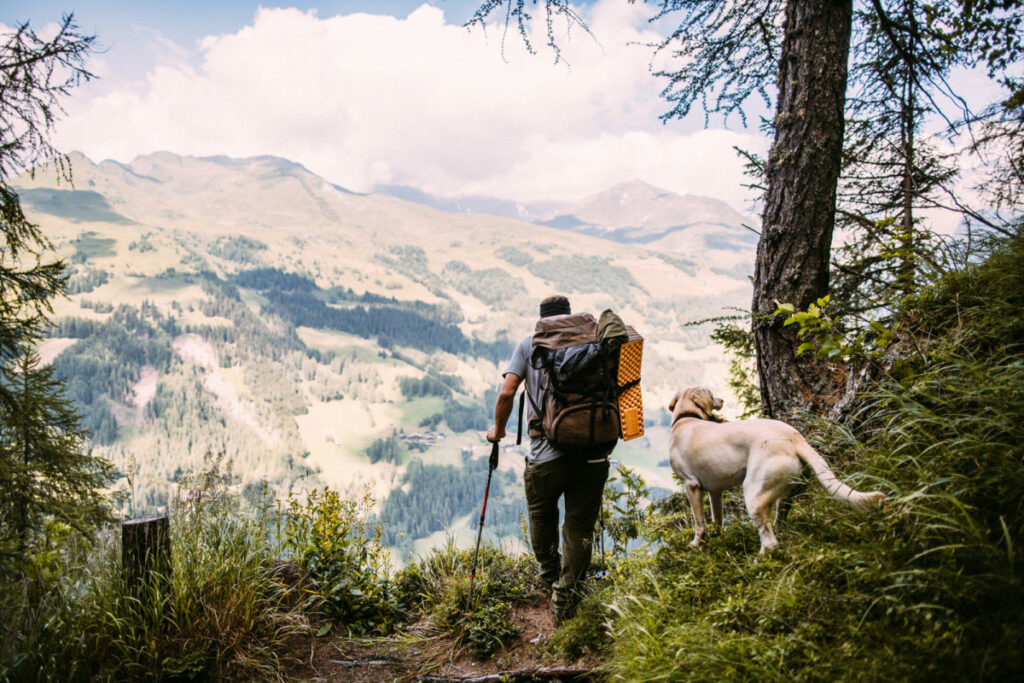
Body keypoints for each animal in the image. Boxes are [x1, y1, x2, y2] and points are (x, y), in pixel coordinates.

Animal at [667, 387, 884, 552]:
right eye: (712, 395)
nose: (722, 399)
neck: (686, 417)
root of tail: (795, 439)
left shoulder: (691, 485)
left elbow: (699, 522)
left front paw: (697, 544)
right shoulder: (715, 491)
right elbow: (717, 518)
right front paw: (717, 537)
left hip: (753, 494)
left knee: (770, 541)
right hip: (786, 495)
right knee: (780, 526)